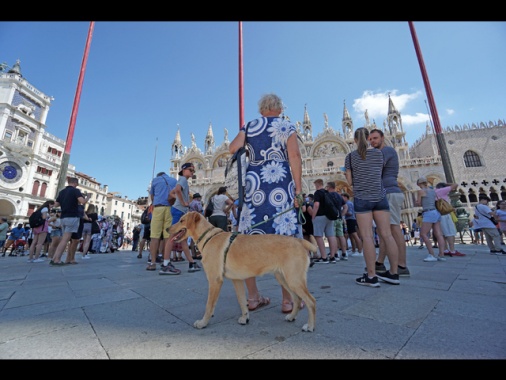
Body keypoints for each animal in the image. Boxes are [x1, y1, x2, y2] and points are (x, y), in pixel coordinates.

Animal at [168, 212, 314, 332]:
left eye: (181, 220)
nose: (167, 229)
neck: (208, 237)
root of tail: (299, 241)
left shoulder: (215, 280)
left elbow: (209, 305)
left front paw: (203, 323)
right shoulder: (237, 280)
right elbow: (242, 301)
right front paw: (245, 318)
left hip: (294, 280)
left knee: (311, 301)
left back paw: (310, 326)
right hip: (284, 279)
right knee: (297, 299)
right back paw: (292, 317)